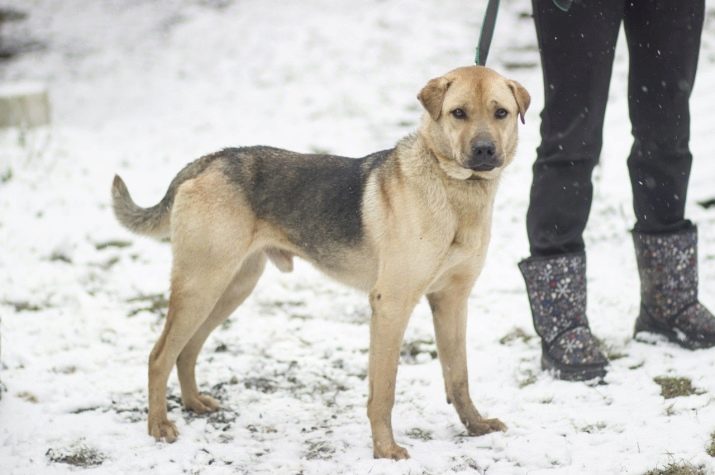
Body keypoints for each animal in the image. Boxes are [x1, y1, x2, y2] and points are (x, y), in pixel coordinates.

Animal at [110, 65, 524, 460]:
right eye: (458, 113)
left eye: (501, 112)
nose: (484, 151)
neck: (455, 188)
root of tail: (209, 160)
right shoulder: (391, 304)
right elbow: (384, 391)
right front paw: (385, 450)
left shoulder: (452, 300)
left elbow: (459, 375)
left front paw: (476, 426)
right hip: (203, 284)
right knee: (159, 355)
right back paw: (159, 425)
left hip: (232, 287)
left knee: (187, 350)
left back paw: (194, 403)